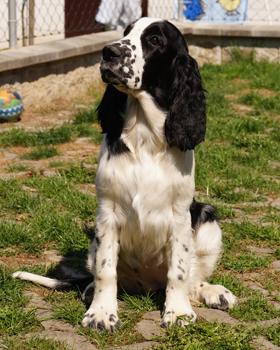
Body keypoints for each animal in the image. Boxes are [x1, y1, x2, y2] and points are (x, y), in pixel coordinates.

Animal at [13, 17, 236, 330]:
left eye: (154, 40)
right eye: (125, 32)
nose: (108, 52)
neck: (144, 136)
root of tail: (147, 286)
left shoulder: (181, 216)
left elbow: (179, 271)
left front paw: (178, 312)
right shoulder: (107, 212)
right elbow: (106, 270)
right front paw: (101, 313)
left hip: (206, 219)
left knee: (194, 276)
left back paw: (214, 292)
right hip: (95, 242)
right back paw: (91, 291)